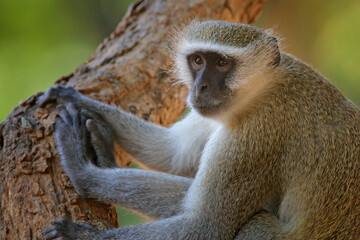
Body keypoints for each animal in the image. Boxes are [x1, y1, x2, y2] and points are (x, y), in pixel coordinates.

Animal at [41, 21, 358, 240]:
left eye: (222, 63)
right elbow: (173, 152)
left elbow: (204, 227)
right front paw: (75, 98)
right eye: (197, 60)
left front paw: (82, 178)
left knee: (251, 224)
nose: (200, 87)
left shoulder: (257, 134)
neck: (262, 88)